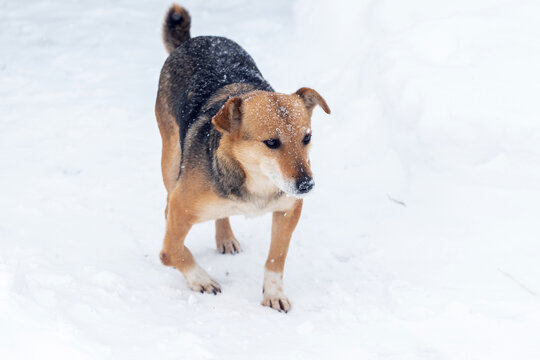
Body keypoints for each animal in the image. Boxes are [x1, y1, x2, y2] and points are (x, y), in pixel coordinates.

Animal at [155, 3, 330, 312]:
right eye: (271, 143)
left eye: (307, 138)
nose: (306, 185)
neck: (256, 180)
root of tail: (194, 40)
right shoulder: (181, 208)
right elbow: (172, 252)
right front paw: (200, 280)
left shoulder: (289, 209)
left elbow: (276, 257)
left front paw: (273, 292)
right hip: (171, 156)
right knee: (169, 196)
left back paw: (225, 236)